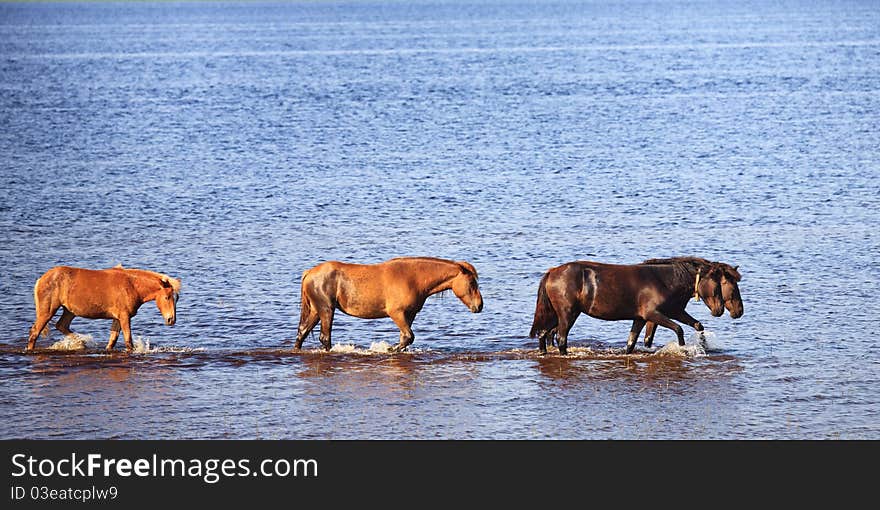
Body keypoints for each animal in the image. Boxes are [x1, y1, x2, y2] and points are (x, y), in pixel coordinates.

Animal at [26, 264, 180, 352]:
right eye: (167, 297)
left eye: (176, 298)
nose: (171, 320)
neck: (132, 285)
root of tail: (41, 279)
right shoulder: (124, 316)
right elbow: (128, 341)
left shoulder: (118, 318)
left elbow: (112, 340)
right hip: (48, 311)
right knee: (35, 332)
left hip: (69, 311)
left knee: (61, 325)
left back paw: (81, 343)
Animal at [298, 256, 488, 352]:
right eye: (472, 283)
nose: (479, 306)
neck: (413, 278)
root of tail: (309, 273)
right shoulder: (396, 313)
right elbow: (409, 337)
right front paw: (389, 349)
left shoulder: (409, 314)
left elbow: (405, 338)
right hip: (326, 310)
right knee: (324, 337)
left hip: (316, 311)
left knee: (302, 332)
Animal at [528, 258, 728, 354]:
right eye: (717, 285)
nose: (719, 310)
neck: (664, 281)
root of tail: (552, 272)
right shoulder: (653, 314)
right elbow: (679, 329)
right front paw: (682, 349)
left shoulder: (642, 318)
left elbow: (631, 343)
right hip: (567, 314)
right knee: (560, 339)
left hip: (557, 315)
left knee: (544, 334)